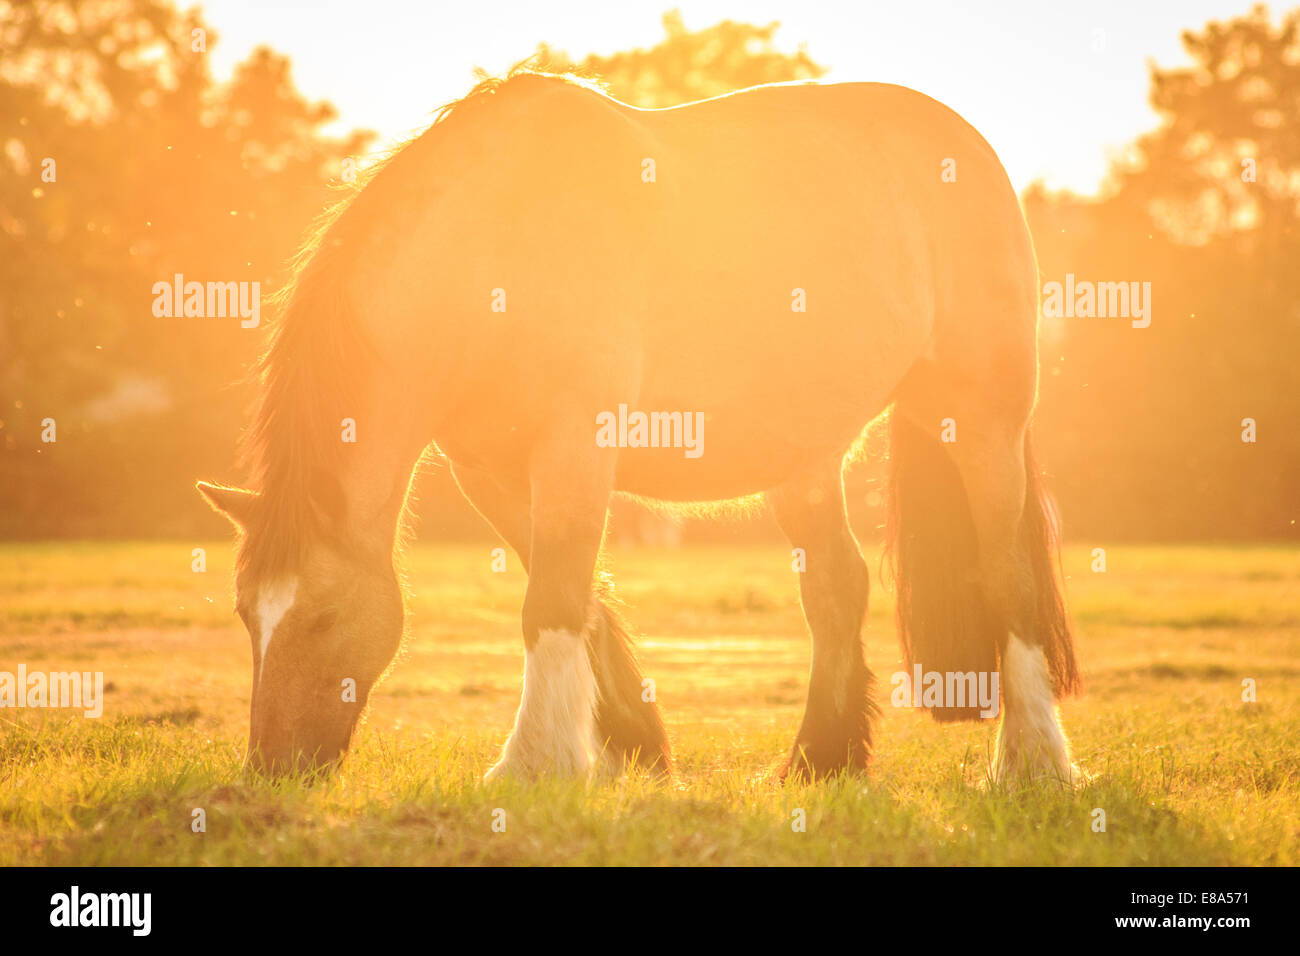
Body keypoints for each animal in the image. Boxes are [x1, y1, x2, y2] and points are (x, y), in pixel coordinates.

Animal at [197, 69, 1081, 785]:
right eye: (244, 614)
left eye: (322, 617)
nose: (273, 767)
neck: (495, 246)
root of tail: (966, 145)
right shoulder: (491, 470)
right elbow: (578, 592)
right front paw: (632, 742)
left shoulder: (574, 448)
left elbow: (551, 598)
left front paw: (535, 765)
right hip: (807, 458)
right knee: (837, 587)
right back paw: (818, 761)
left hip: (982, 424)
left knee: (1007, 579)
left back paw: (1033, 763)